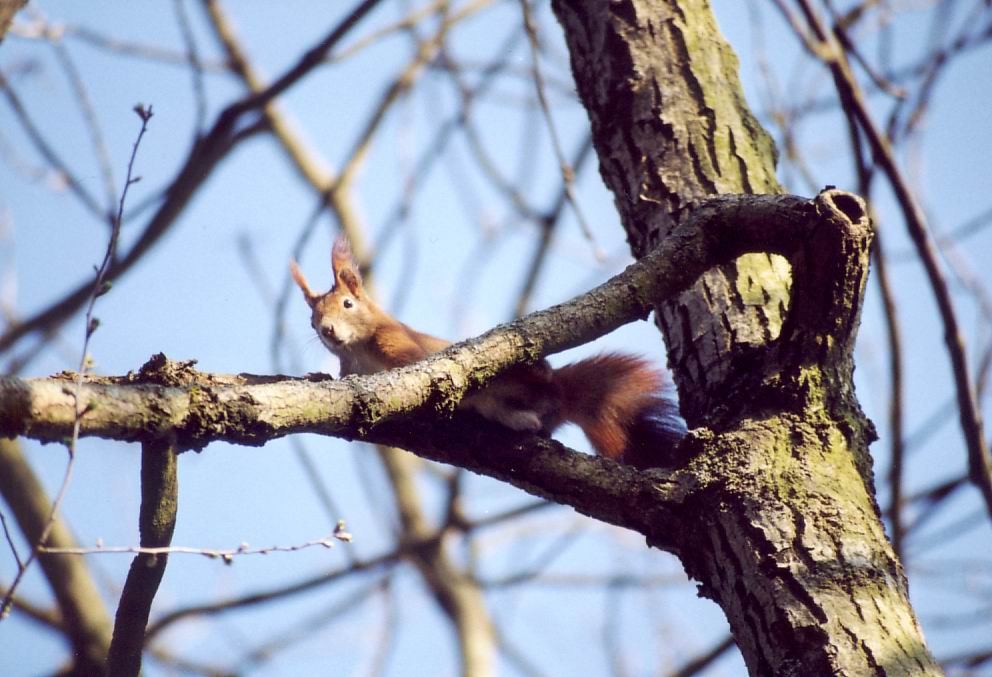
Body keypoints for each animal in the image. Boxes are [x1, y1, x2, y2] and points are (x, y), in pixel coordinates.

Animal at [290, 238, 684, 470]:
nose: (327, 330)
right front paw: (318, 377)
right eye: (311, 320)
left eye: (347, 303)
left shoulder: (398, 345)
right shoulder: (348, 364)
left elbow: (408, 370)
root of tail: (561, 391)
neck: (359, 349)